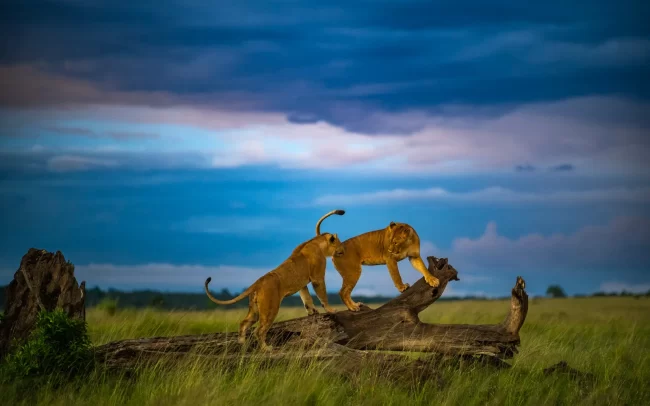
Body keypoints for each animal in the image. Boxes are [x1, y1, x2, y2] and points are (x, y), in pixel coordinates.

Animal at [204, 209, 345, 351]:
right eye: (339, 244)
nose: (344, 251)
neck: (317, 243)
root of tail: (258, 282)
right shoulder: (317, 277)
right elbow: (322, 296)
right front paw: (331, 310)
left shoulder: (302, 283)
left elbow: (306, 298)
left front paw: (313, 312)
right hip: (270, 307)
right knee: (259, 330)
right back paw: (266, 348)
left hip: (255, 310)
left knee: (244, 323)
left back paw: (242, 345)